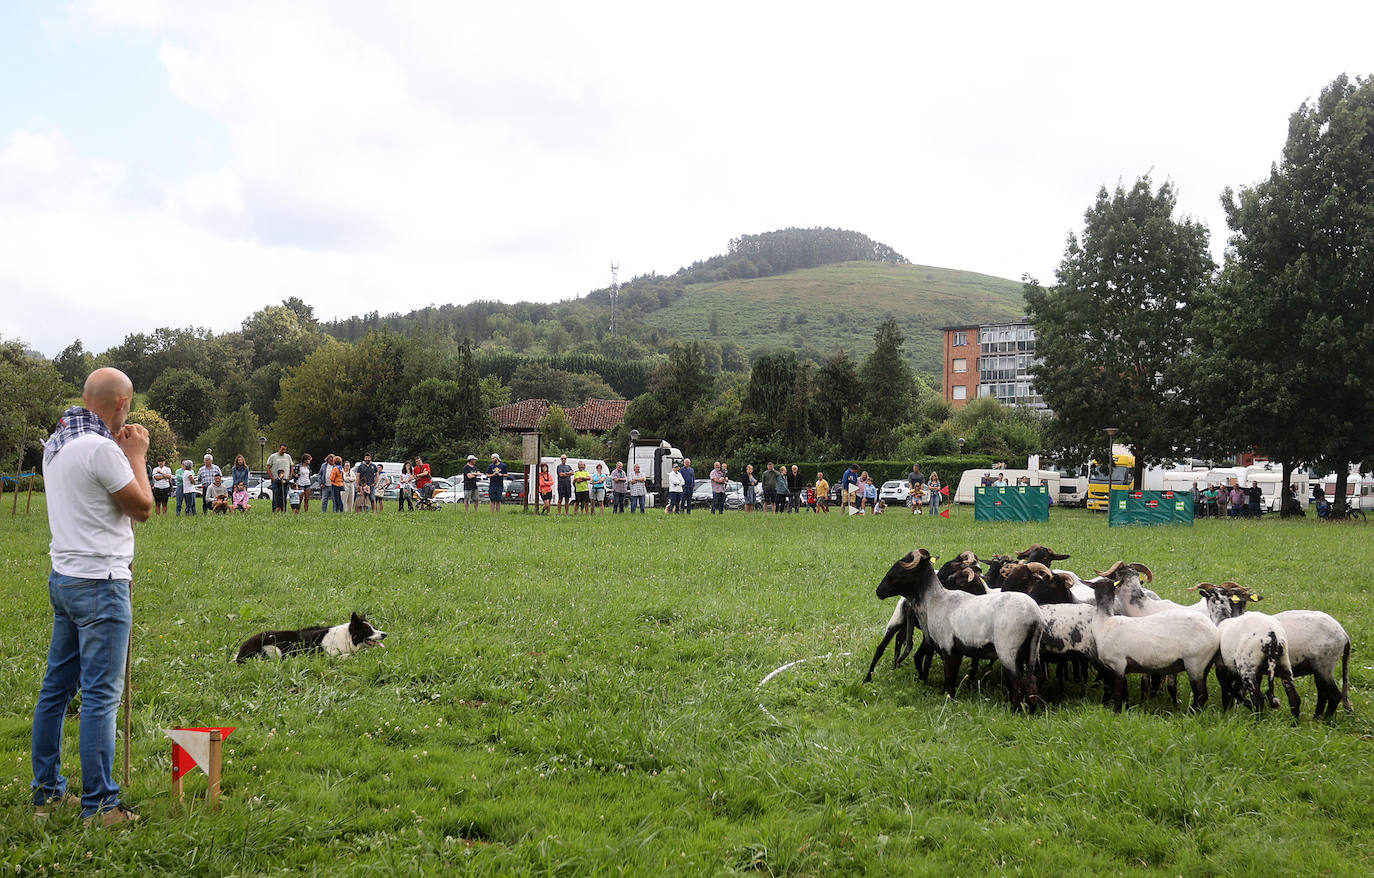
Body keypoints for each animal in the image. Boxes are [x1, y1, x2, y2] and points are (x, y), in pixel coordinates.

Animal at [236, 615, 387, 662]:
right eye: (368, 630)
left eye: (374, 627)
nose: (385, 634)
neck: (347, 637)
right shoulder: (326, 655)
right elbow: (348, 655)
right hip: (274, 648)